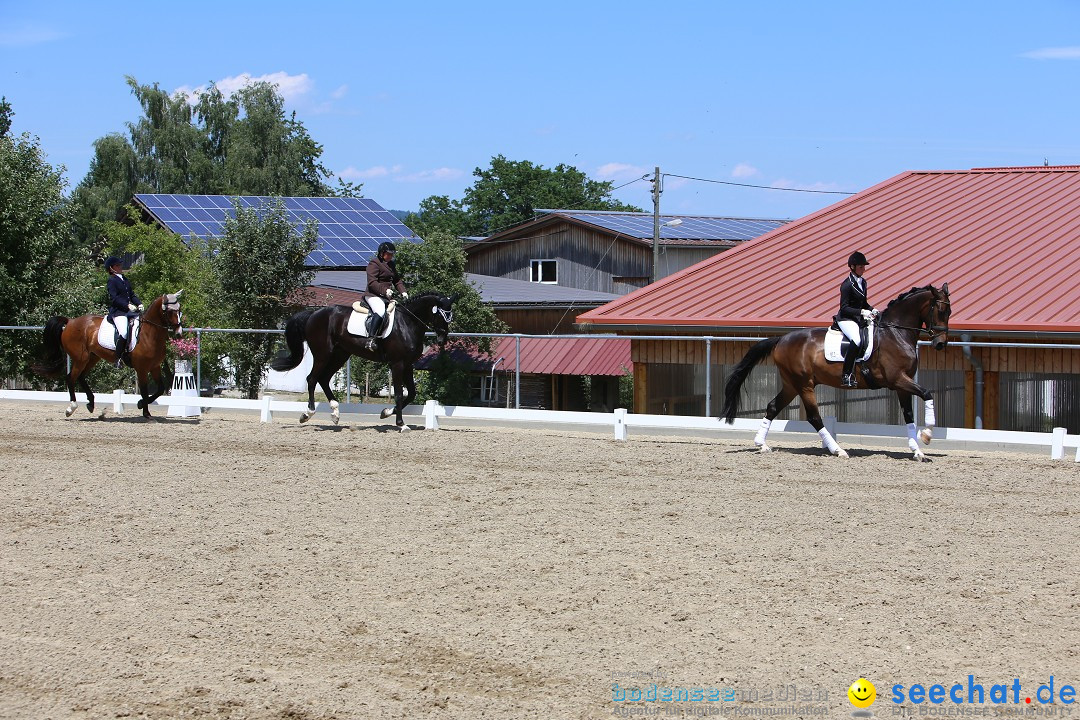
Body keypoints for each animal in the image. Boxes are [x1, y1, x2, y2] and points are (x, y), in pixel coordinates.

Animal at [32, 289, 185, 418]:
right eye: (170, 311)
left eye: (180, 310)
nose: (179, 334)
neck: (149, 333)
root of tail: (70, 322)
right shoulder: (142, 368)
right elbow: (144, 390)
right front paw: (146, 412)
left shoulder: (154, 366)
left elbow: (160, 389)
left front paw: (141, 404)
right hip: (81, 358)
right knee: (71, 378)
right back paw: (71, 408)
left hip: (92, 358)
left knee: (80, 377)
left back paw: (91, 403)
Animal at [274, 291, 455, 427]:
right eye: (441, 315)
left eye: (449, 316)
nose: (442, 339)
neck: (407, 322)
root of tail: (314, 313)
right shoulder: (397, 364)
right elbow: (398, 393)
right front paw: (401, 424)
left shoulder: (408, 364)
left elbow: (411, 394)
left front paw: (386, 413)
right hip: (323, 354)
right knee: (312, 379)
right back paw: (308, 413)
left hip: (340, 354)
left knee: (323, 379)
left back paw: (335, 413)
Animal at [721, 282, 950, 462]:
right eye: (940, 311)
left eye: (949, 312)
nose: (940, 344)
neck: (896, 333)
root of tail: (781, 340)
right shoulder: (898, 379)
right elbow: (927, 394)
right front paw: (927, 435)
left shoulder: (902, 384)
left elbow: (909, 415)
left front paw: (918, 452)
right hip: (804, 384)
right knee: (814, 417)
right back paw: (838, 450)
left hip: (791, 384)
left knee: (772, 407)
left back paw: (762, 444)